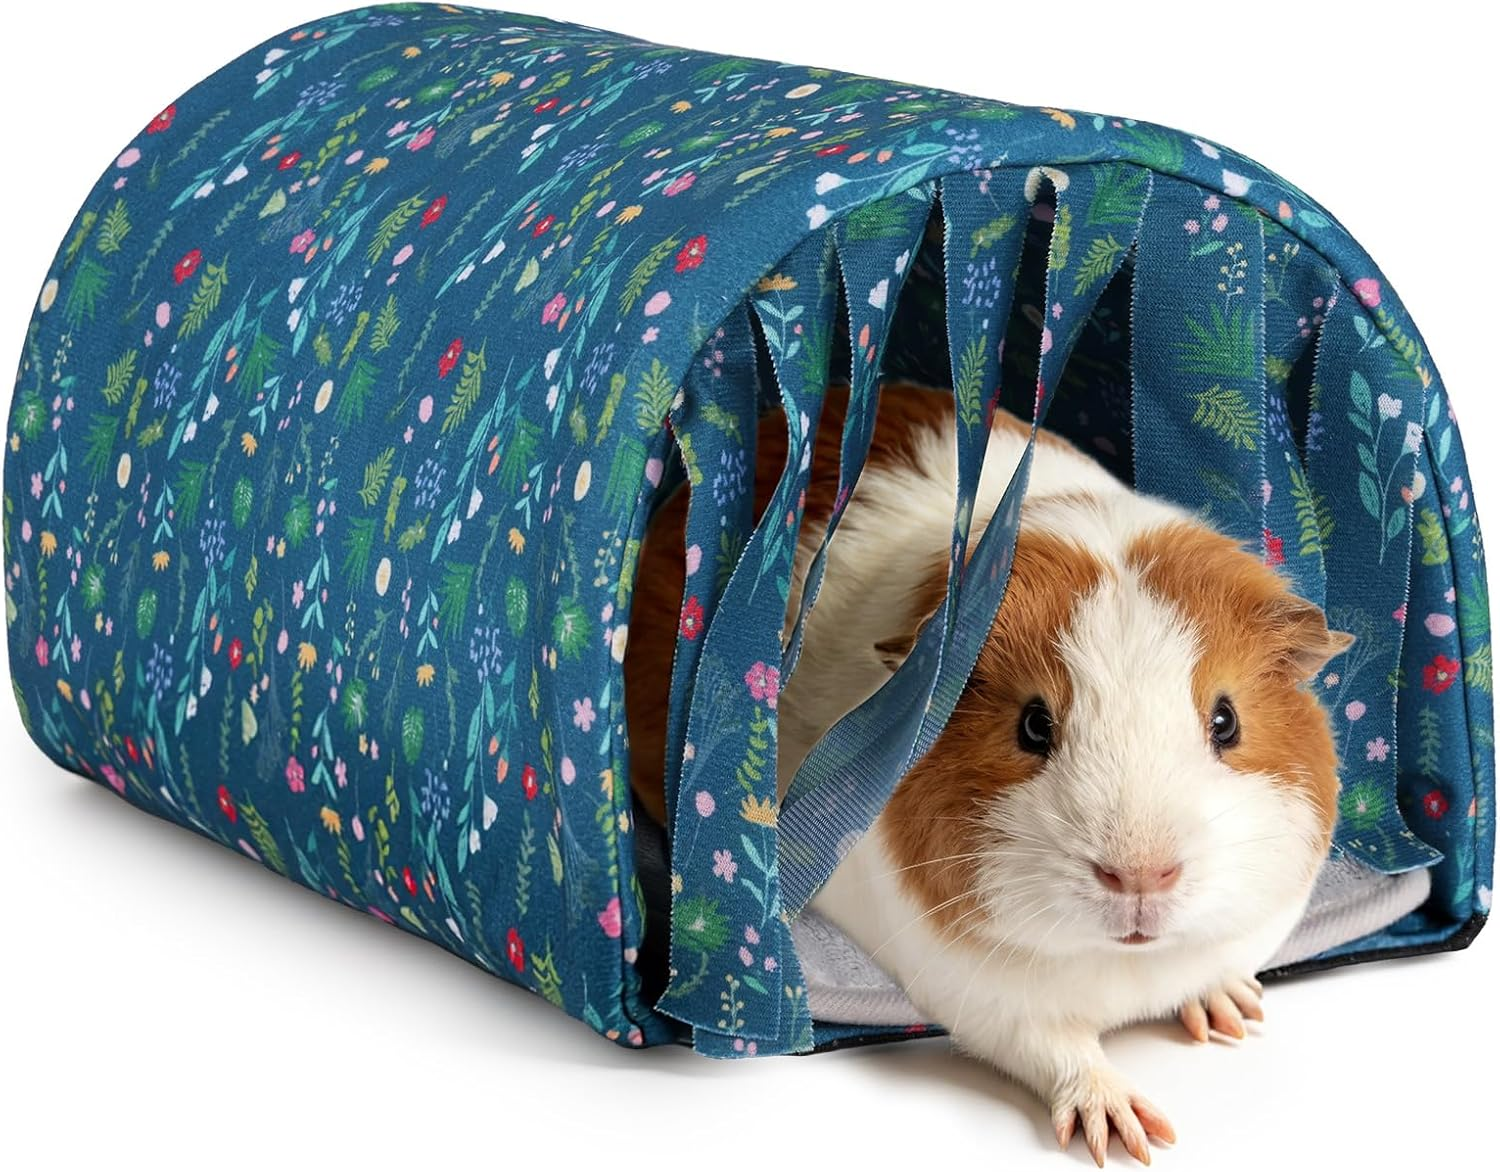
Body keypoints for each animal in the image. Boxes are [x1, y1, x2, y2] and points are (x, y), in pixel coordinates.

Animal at [626, 381, 1350, 1165]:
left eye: (1226, 721)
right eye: (1033, 724)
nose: (1140, 877)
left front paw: (1234, 1014)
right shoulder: (980, 997)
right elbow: (1058, 1047)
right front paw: (1127, 1133)